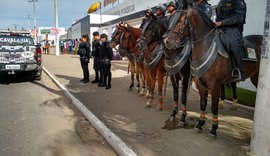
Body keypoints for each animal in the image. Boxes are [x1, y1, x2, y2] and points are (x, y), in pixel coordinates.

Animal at [162, 7, 262, 136]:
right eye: (169, 21)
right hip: (255, 78)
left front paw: (214, 128)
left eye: (180, 20)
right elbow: (202, 103)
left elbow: (213, 106)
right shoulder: (199, 83)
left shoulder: (214, 84)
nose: (167, 41)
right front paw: (199, 124)